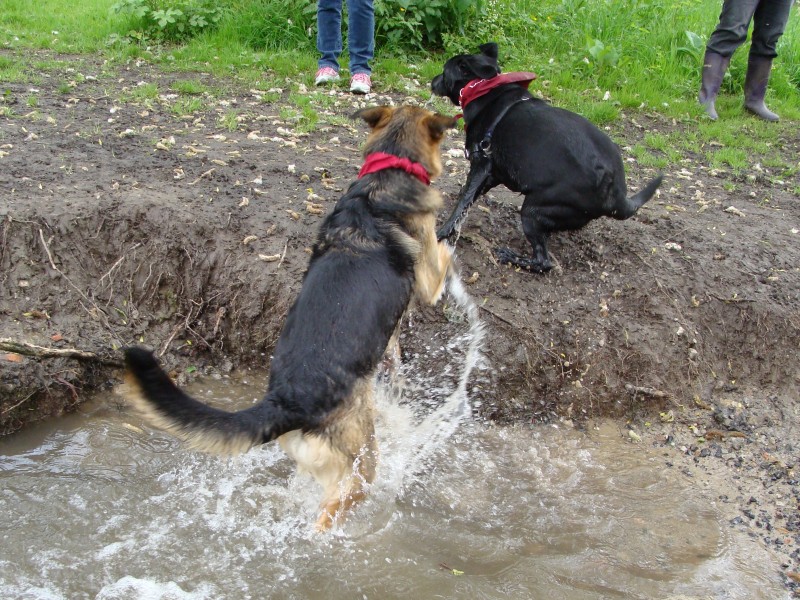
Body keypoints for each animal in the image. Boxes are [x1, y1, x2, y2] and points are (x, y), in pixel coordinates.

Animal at [120, 105, 456, 532]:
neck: (389, 167)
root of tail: (288, 400)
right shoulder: (428, 275)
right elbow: (445, 254)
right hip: (361, 465)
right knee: (331, 512)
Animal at [432, 42, 664, 274]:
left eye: (444, 71)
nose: (432, 81)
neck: (482, 88)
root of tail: (616, 194)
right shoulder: (493, 173)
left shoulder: (480, 164)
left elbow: (462, 203)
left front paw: (443, 232)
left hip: (533, 209)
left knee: (543, 262)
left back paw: (512, 257)